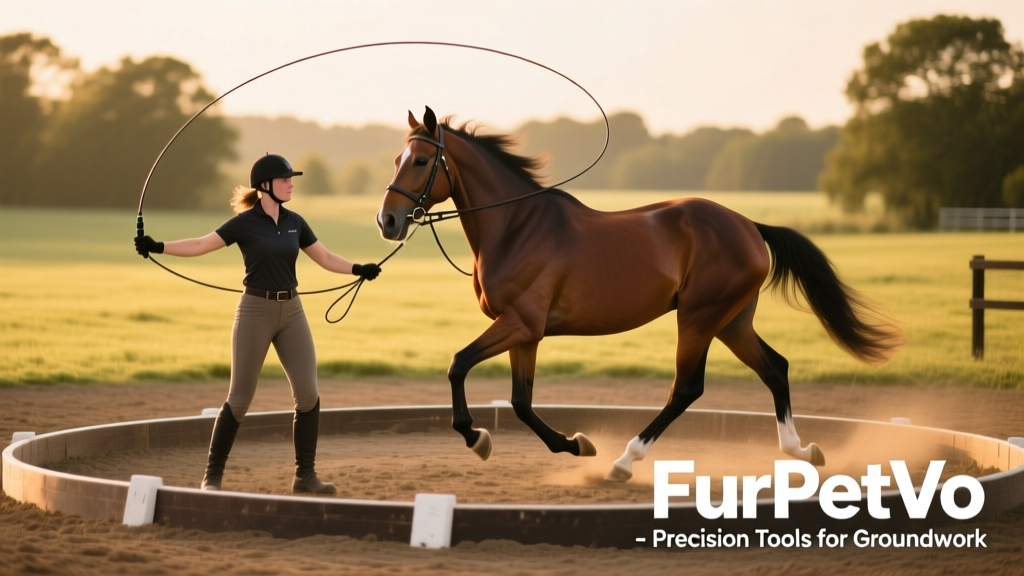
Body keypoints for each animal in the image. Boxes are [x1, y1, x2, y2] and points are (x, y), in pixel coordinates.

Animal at [376, 106, 904, 482]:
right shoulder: (526, 332)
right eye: (396, 159)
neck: (517, 228)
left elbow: (458, 365)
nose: (388, 221)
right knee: (776, 367)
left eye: (421, 160)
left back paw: (625, 462)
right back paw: (802, 450)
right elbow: (520, 401)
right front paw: (574, 443)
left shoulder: (520, 323)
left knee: (686, 388)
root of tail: (748, 225)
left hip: (698, 317)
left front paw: (477, 437)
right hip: (732, 321)